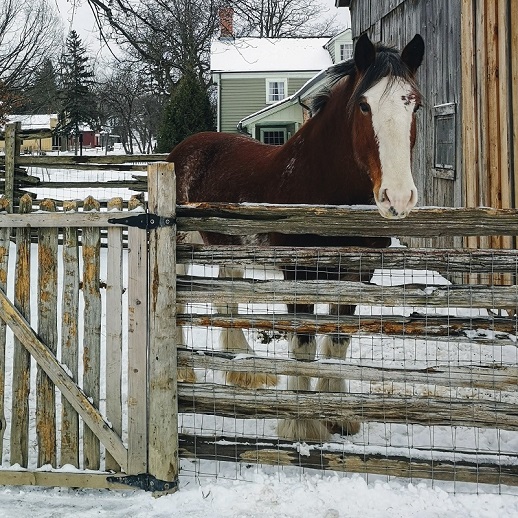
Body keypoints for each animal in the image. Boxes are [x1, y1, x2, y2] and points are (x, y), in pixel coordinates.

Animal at [169, 33, 424, 442]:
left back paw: (242, 371)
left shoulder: (356, 273)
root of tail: (183, 149)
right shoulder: (298, 274)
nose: (397, 197)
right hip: (183, 247)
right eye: (364, 106)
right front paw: (303, 425)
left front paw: (338, 415)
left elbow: (338, 341)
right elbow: (303, 345)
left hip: (229, 251)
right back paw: (185, 372)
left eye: (413, 104)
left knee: (228, 301)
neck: (318, 184)